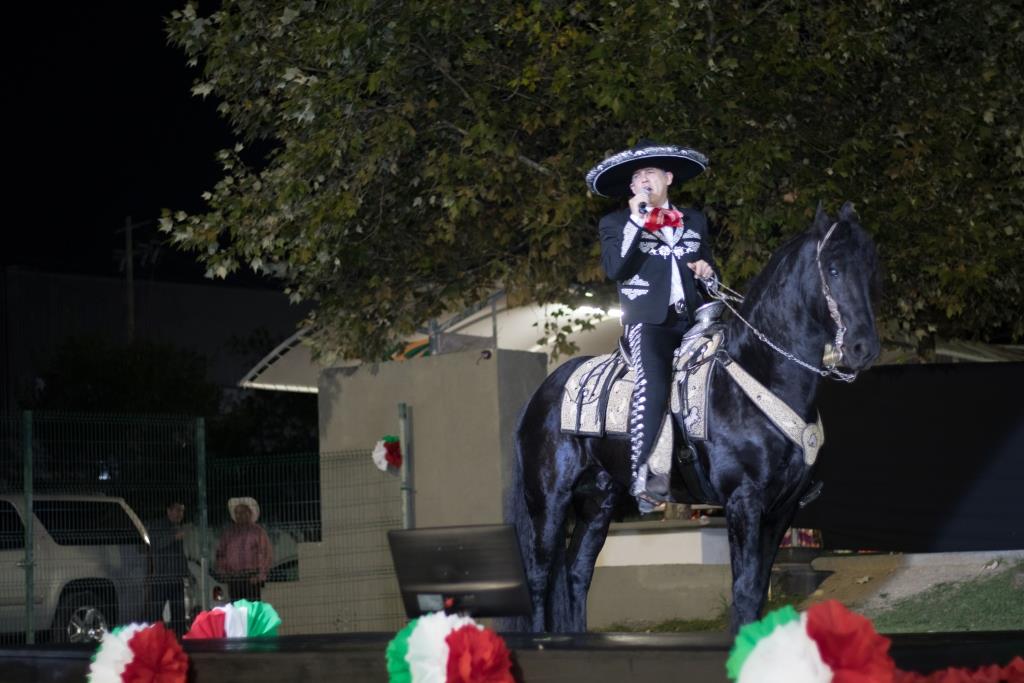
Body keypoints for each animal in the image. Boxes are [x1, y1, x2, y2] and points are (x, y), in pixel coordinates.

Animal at [505, 202, 880, 633]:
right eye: (832, 269)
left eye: (870, 268)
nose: (863, 348)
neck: (759, 373)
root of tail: (540, 394)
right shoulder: (743, 502)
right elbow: (745, 592)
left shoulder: (781, 510)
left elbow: (757, 591)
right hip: (548, 500)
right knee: (539, 576)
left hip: (598, 502)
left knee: (575, 574)